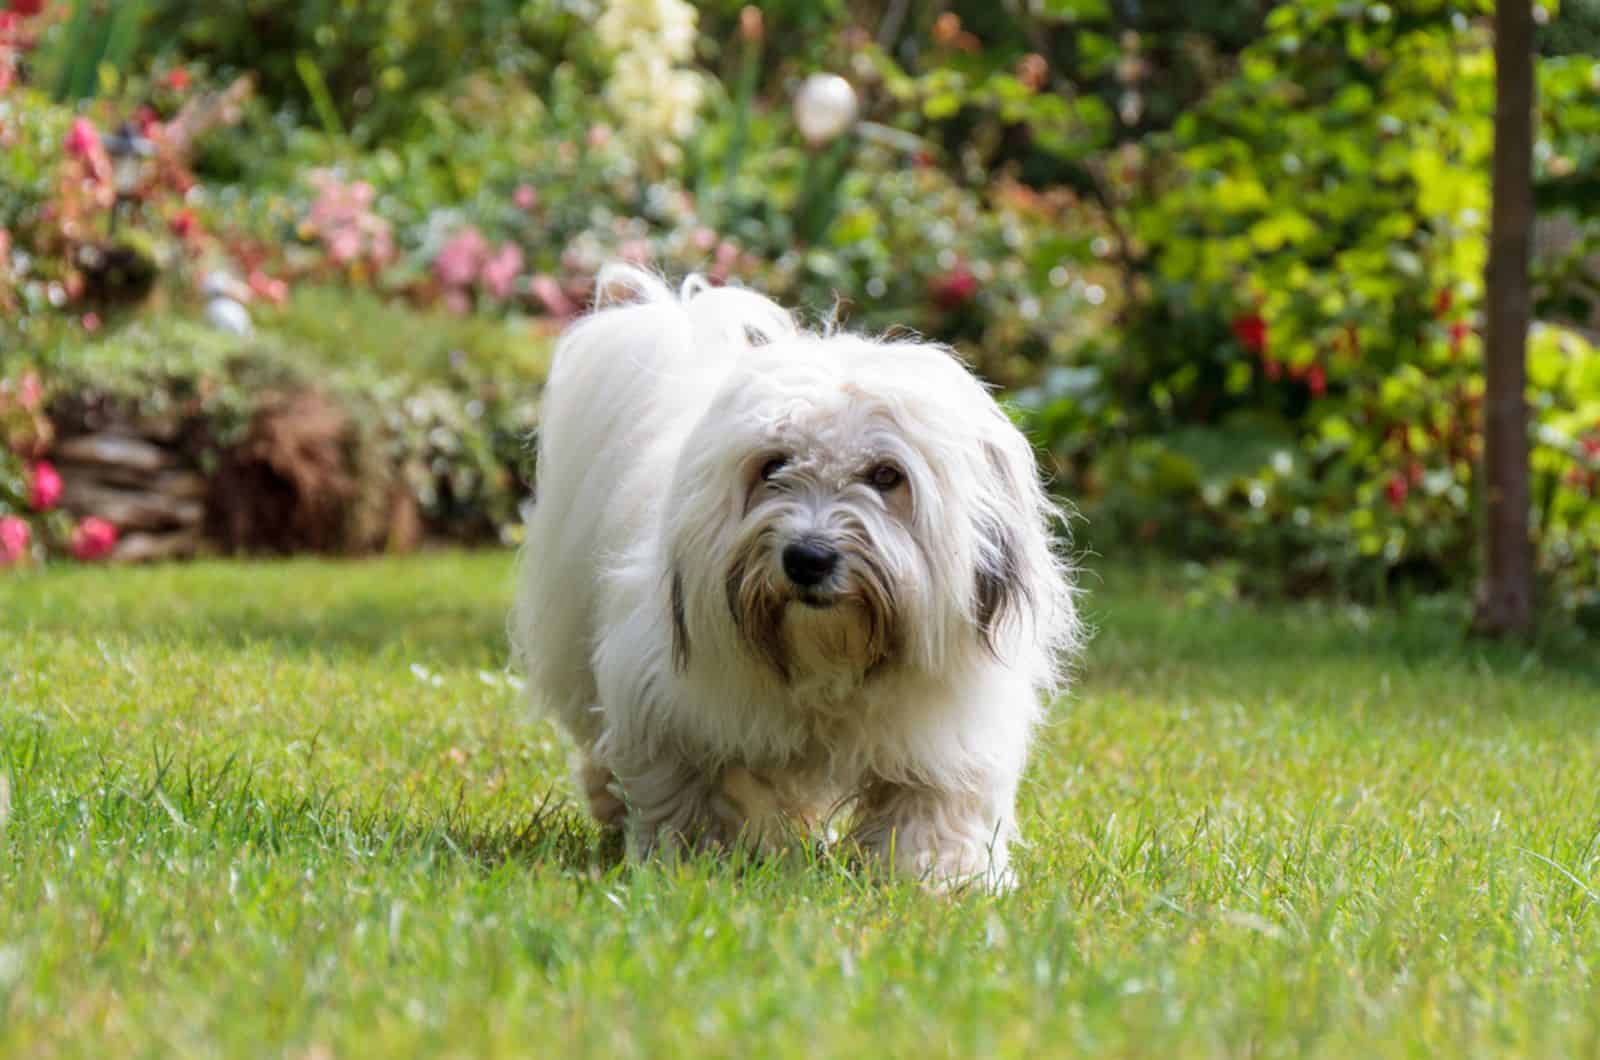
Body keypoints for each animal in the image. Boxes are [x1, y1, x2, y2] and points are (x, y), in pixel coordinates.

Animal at [518, 265, 1081, 890]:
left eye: (887, 475)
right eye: (774, 466)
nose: (808, 558)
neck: (828, 661)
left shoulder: (943, 728)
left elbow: (936, 802)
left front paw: (939, 878)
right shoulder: (668, 705)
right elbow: (687, 789)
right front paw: (692, 862)